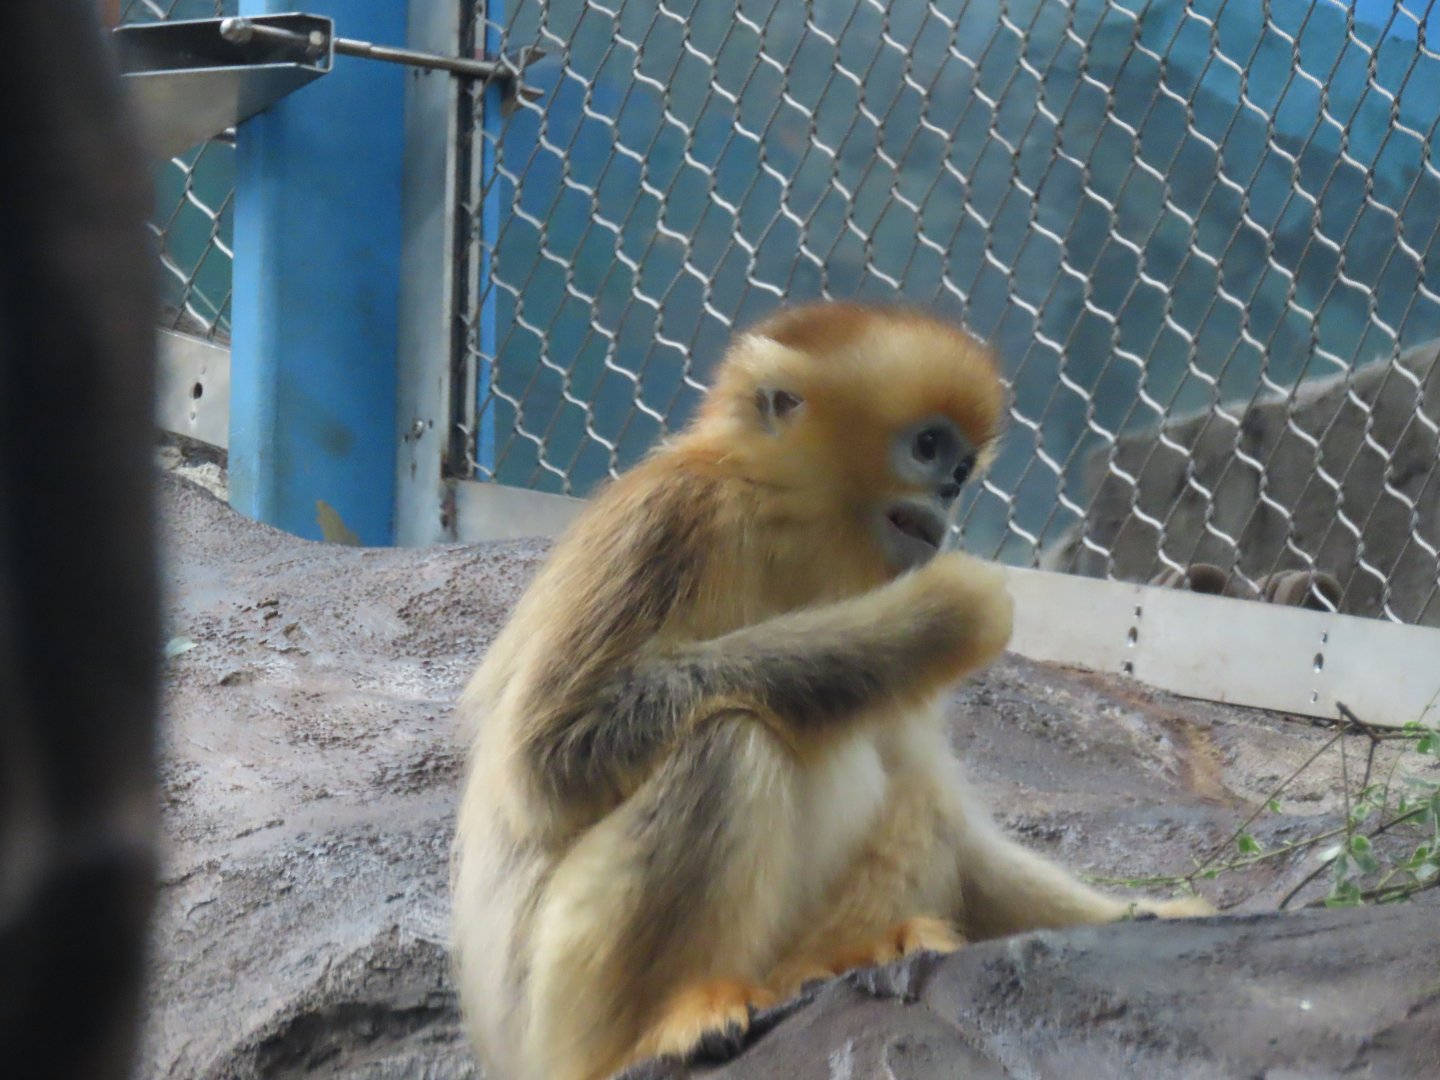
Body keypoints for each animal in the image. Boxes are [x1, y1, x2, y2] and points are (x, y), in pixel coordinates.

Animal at [450, 301, 1214, 1080]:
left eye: (962, 468)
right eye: (929, 447)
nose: (950, 489)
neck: (786, 527)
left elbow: (957, 828)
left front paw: (1146, 918)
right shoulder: (671, 517)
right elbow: (550, 754)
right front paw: (939, 615)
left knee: (915, 794)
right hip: (557, 1013)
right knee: (730, 740)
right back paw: (672, 1023)